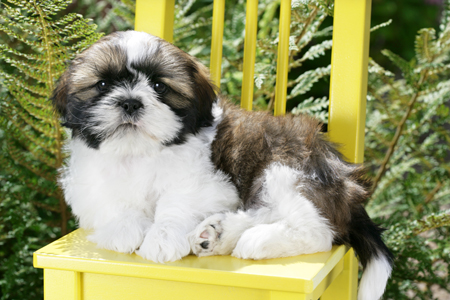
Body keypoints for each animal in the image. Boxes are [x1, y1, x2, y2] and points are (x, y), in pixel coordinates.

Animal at [53, 29, 394, 300]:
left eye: (160, 87)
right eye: (102, 85)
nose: (130, 102)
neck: (138, 152)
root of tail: (347, 184)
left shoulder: (211, 184)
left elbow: (177, 200)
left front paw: (162, 237)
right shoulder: (86, 184)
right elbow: (109, 200)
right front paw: (125, 228)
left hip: (287, 166)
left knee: (317, 229)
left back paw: (255, 240)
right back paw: (218, 234)